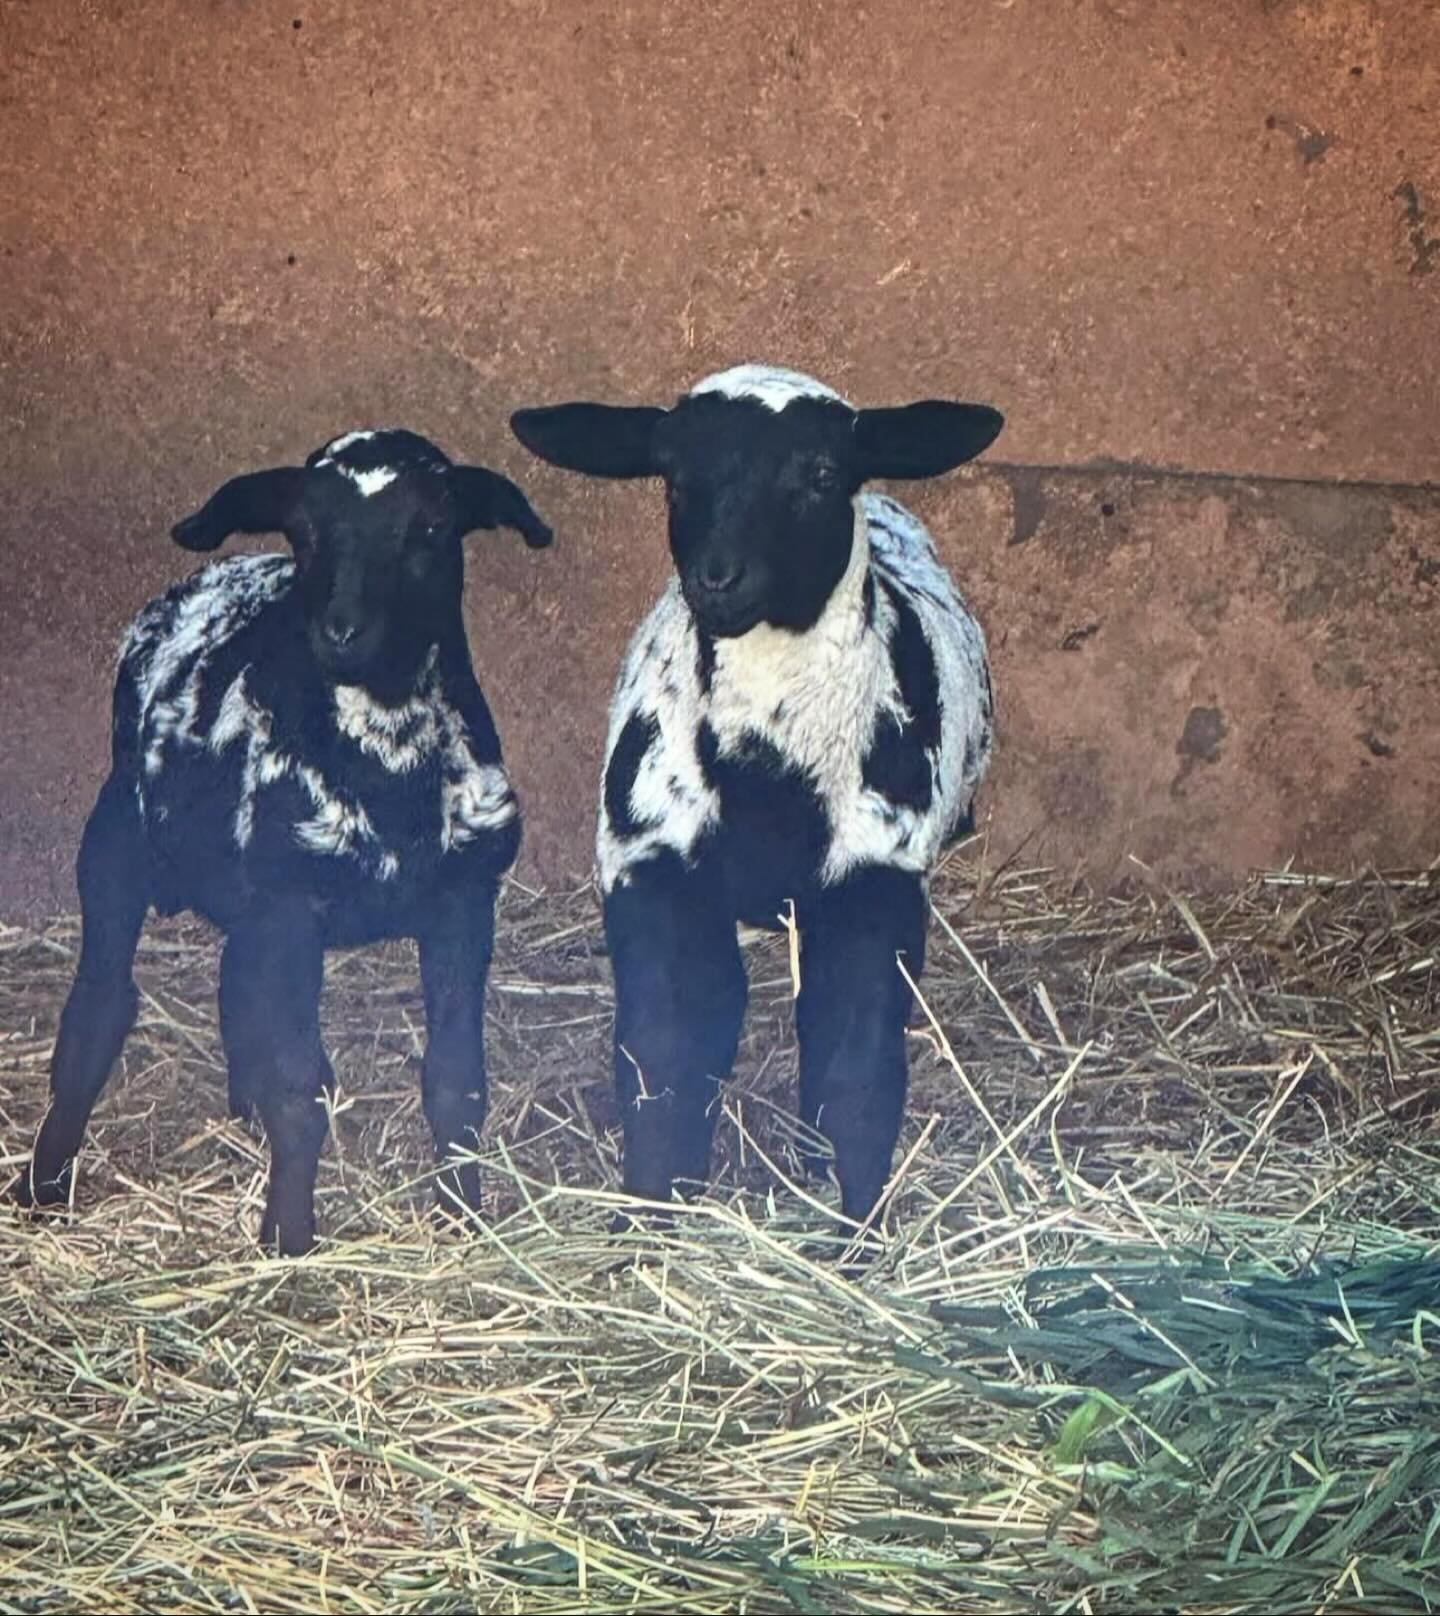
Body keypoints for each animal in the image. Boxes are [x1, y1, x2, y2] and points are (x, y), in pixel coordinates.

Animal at [10, 428, 553, 1255]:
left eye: (430, 526)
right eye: (304, 529)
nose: (340, 631)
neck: (387, 754)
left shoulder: (463, 900)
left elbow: (456, 1079)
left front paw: (463, 1218)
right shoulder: (290, 908)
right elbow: (300, 1086)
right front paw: (288, 1236)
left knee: (234, 987)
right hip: (115, 844)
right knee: (97, 1011)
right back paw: (43, 1184)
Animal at [510, 364, 1003, 1227]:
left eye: (821, 474)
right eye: (673, 475)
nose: (718, 577)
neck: (768, 767)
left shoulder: (877, 886)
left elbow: (856, 1068)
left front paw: (855, 1227)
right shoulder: (652, 873)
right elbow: (667, 1054)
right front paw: (652, 1213)